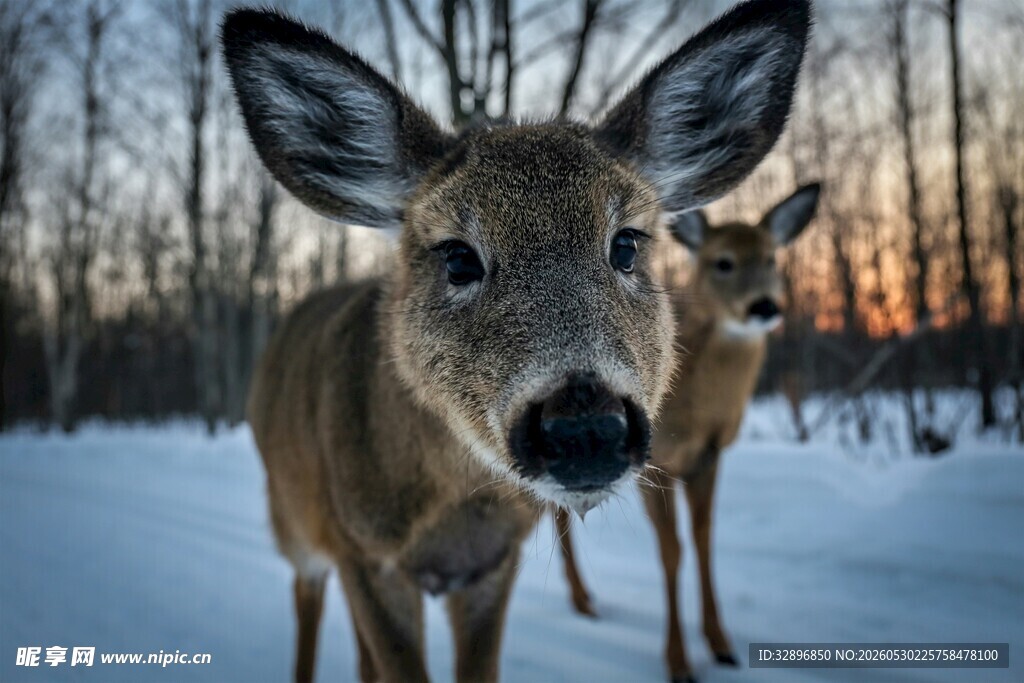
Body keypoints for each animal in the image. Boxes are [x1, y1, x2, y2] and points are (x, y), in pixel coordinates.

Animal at [556, 183, 822, 683]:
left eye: (771, 258)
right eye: (723, 262)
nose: (764, 306)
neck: (694, 406)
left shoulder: (708, 455)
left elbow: (702, 540)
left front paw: (721, 644)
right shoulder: (654, 462)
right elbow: (671, 550)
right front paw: (678, 662)